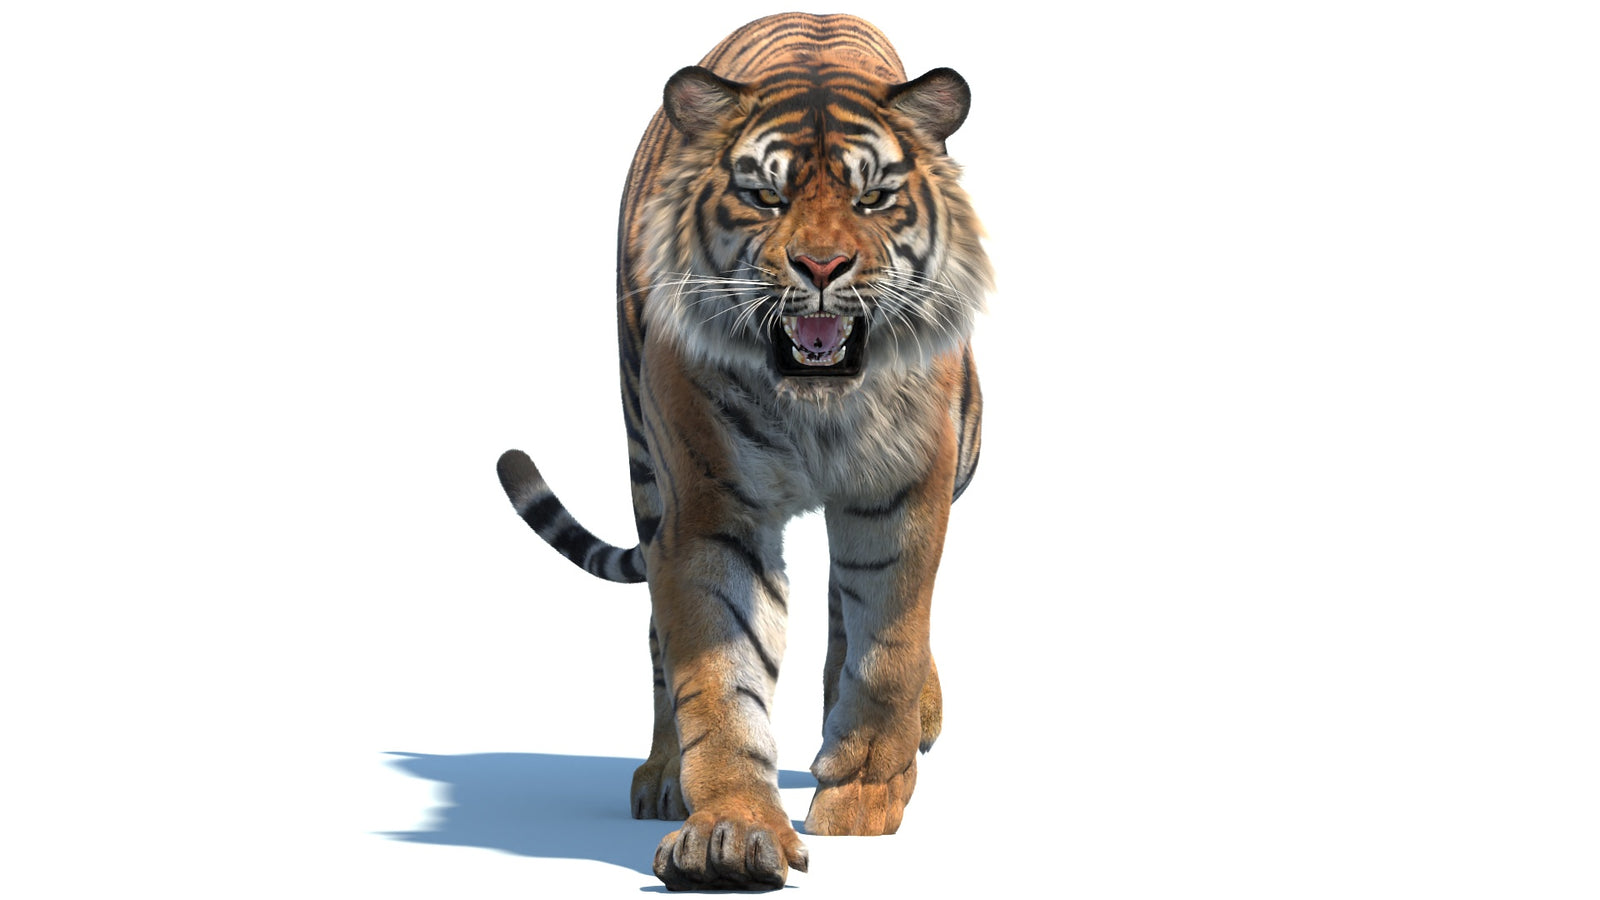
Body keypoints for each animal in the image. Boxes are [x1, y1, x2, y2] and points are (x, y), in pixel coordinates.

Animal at [496, 12, 992, 891]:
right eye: (765, 195)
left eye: (872, 196)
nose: (822, 267)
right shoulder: (707, 509)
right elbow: (719, 678)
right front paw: (729, 833)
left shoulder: (902, 491)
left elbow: (889, 645)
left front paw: (862, 795)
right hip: (646, 469)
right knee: (661, 645)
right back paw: (663, 775)